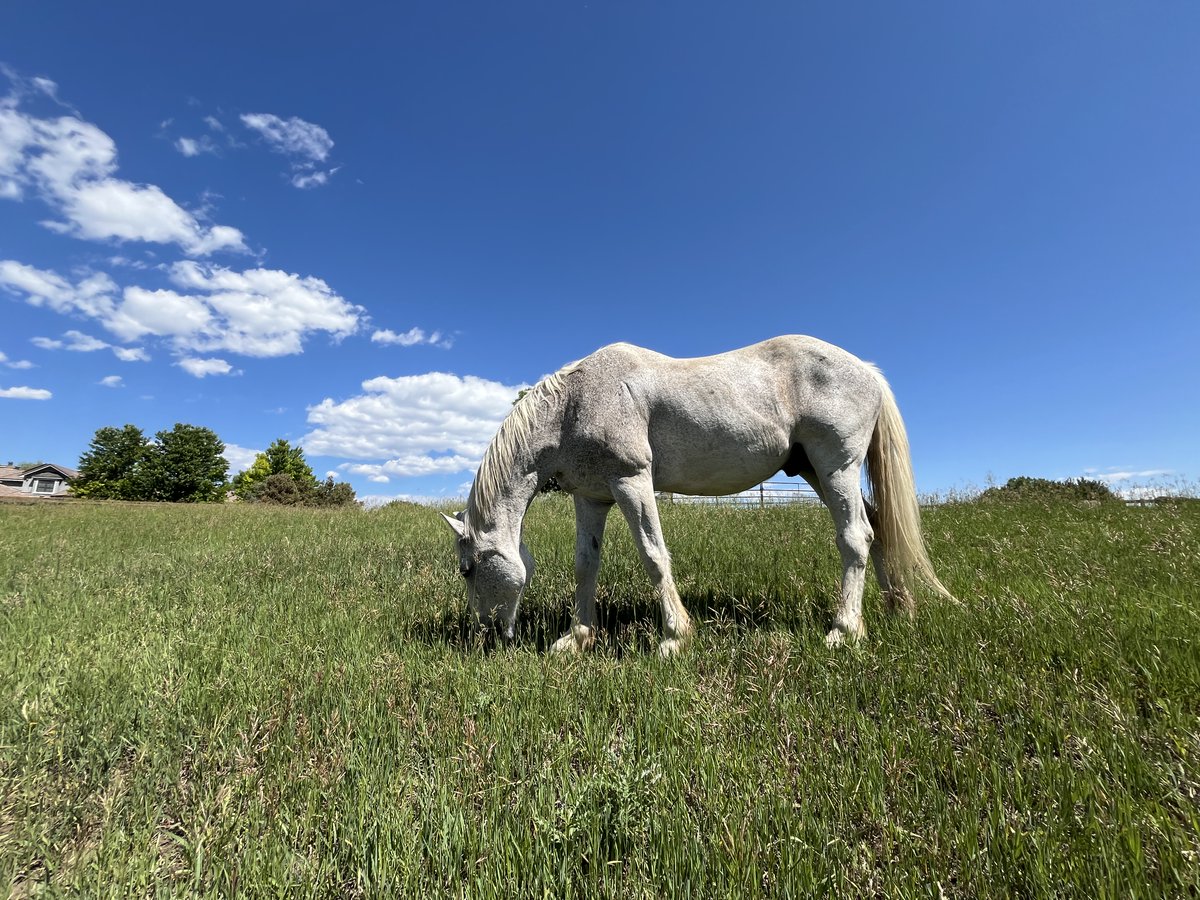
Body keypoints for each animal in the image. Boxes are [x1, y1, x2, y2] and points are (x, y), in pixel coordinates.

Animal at [442, 335, 954, 656]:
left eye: (468, 569)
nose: (486, 635)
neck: (575, 402)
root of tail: (867, 371)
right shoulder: (591, 498)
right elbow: (586, 564)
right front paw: (578, 638)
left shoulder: (632, 481)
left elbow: (653, 554)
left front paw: (674, 637)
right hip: (815, 472)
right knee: (878, 527)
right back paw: (896, 607)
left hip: (837, 468)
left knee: (855, 537)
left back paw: (844, 629)